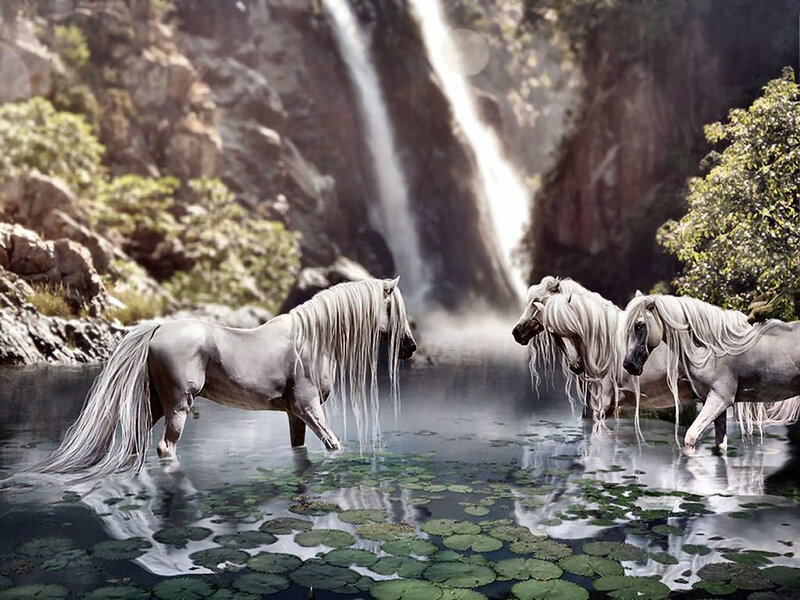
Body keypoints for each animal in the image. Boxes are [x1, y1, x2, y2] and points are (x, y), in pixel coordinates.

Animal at [31, 278, 417, 478]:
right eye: (392, 308)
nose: (410, 348)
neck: (311, 340)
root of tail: (158, 328)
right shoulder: (310, 409)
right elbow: (334, 445)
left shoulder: (295, 415)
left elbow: (300, 450)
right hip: (178, 408)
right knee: (166, 447)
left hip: (155, 405)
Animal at [622, 294, 800, 454]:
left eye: (639, 325)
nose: (629, 365)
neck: (713, 349)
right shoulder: (716, 405)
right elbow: (720, 445)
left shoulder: (719, 399)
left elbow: (690, 437)